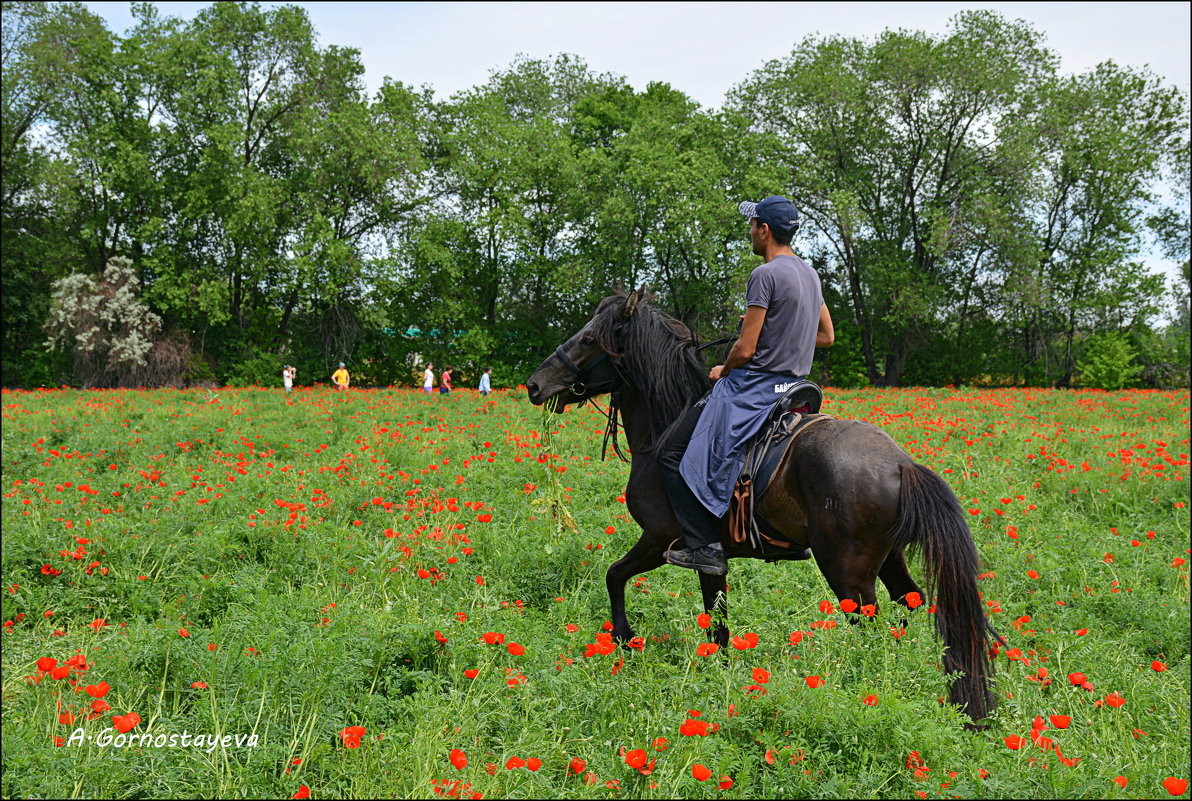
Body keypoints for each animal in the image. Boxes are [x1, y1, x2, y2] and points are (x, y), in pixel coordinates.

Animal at [526, 289, 1001, 724]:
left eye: (589, 338)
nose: (534, 385)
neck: (664, 427)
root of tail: (900, 463)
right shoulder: (700, 555)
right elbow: (701, 613)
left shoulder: (665, 540)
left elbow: (633, 583)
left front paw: (628, 639)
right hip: (888, 558)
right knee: (909, 602)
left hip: (848, 572)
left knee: (870, 624)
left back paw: (861, 686)